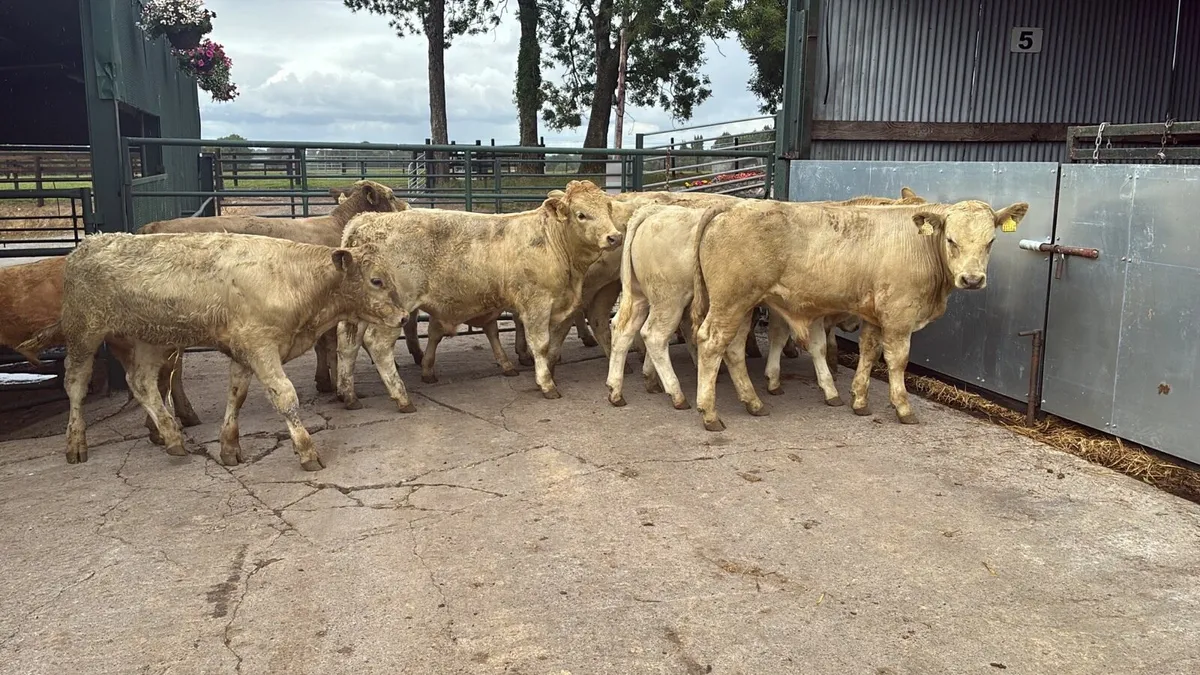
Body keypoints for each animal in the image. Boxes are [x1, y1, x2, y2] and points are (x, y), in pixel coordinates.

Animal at [137, 179, 408, 395]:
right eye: (391, 195)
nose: (406, 206)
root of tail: (153, 227)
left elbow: (322, 346)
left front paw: (323, 381)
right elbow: (329, 345)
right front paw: (332, 383)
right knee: (170, 372)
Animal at [334, 179, 624, 410]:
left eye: (608, 209)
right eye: (581, 214)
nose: (614, 237)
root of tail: (365, 220)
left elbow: (553, 343)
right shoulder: (537, 304)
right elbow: (541, 345)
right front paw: (546, 384)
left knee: (348, 344)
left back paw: (349, 396)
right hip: (393, 310)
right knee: (378, 345)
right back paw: (402, 398)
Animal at [689, 197, 1028, 431]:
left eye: (991, 241)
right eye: (950, 240)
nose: (972, 279)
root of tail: (730, 206)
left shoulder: (875, 316)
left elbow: (868, 352)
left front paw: (859, 399)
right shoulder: (898, 315)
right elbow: (897, 360)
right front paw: (902, 407)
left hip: (742, 304)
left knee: (733, 349)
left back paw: (753, 402)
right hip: (730, 301)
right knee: (711, 343)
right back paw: (709, 413)